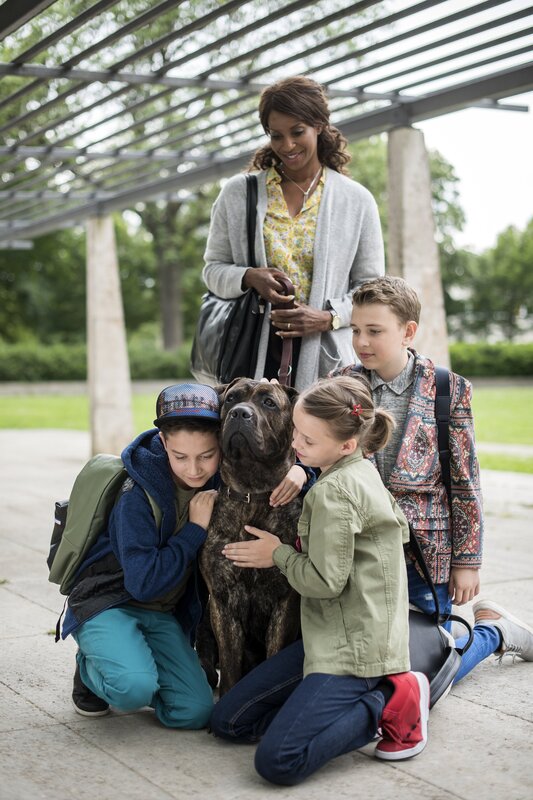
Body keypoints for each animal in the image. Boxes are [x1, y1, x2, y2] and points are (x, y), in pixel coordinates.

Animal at [197, 378, 302, 696]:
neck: (252, 495)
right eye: (231, 399)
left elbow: (274, 656)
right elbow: (230, 666)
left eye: (269, 403)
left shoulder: (285, 601)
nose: (240, 414)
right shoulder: (223, 601)